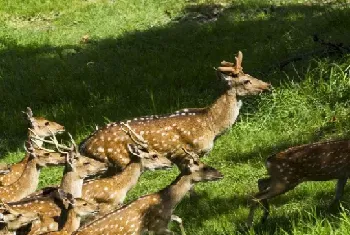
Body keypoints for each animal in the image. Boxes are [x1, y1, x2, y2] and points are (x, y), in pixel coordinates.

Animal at [79, 51, 270, 169]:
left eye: (250, 75)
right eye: (246, 81)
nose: (267, 85)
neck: (211, 124)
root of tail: (84, 145)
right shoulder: (187, 150)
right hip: (118, 158)